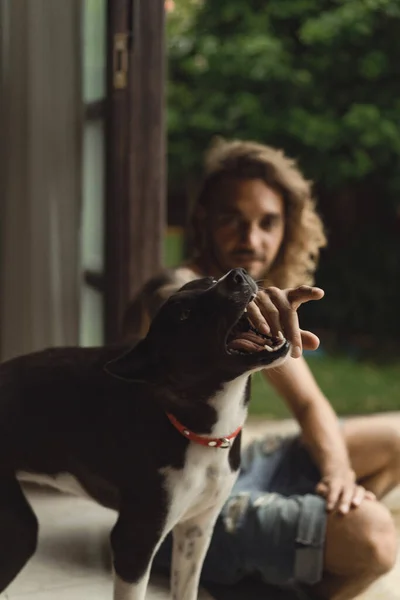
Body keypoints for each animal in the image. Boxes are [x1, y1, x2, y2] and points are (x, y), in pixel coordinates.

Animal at [0, 268, 290, 600]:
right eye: (184, 315)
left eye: (210, 280)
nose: (238, 275)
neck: (201, 431)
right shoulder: (134, 541)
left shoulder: (197, 529)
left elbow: (186, 589)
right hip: (17, 531)